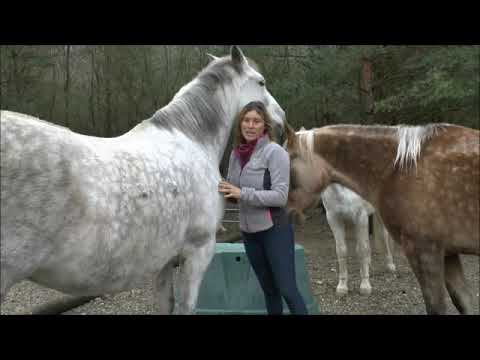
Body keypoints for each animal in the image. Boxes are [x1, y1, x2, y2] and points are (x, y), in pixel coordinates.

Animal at [0, 46, 284, 314]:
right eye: (261, 82)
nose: (280, 118)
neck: (194, 140)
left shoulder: (165, 259)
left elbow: (166, 304)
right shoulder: (197, 251)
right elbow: (185, 306)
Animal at [286, 122, 478, 314]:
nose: (285, 213)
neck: (398, 168)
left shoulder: (423, 250)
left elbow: (362, 249)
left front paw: (365, 285)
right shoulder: (334, 219)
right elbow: (341, 250)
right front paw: (342, 286)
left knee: (382, 242)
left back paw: (389, 265)